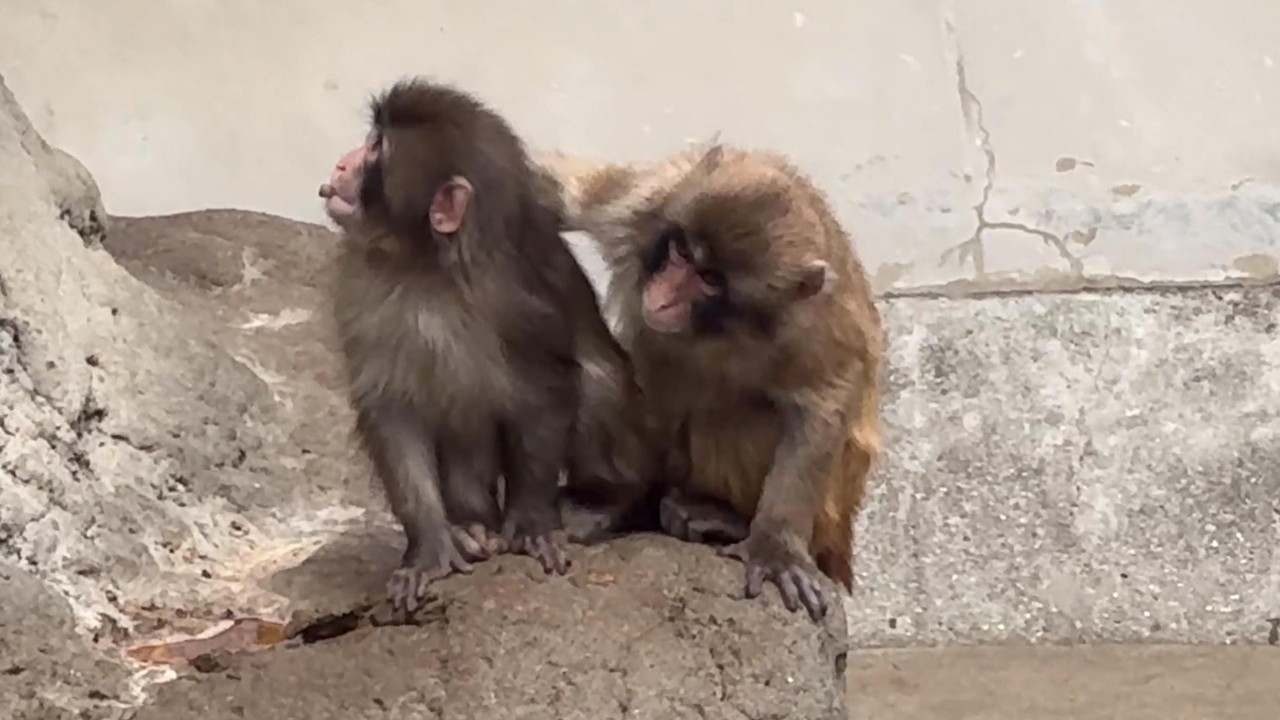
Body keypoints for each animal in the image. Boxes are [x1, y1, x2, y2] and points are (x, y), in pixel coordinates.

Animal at [319, 77, 656, 616]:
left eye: (376, 149)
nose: (343, 164)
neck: (425, 265)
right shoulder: (362, 287)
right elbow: (394, 413)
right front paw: (430, 545)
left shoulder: (516, 300)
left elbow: (546, 389)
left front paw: (534, 523)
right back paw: (473, 524)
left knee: (595, 379)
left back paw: (603, 503)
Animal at [533, 144, 884, 622]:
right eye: (681, 252)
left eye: (710, 279)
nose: (663, 295)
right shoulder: (646, 205)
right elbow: (560, 189)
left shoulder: (807, 324)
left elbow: (821, 406)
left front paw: (776, 543)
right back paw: (624, 503)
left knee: (734, 414)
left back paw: (720, 516)